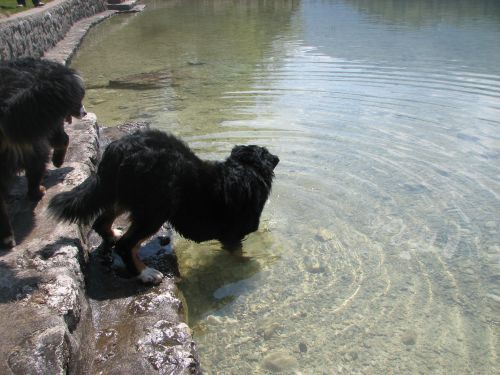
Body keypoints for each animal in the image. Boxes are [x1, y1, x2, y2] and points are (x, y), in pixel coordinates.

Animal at [0, 58, 86, 250]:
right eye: (79, 99)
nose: (84, 112)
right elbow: (61, 139)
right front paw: (58, 161)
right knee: (37, 161)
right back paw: (37, 190)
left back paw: (6, 237)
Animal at [48, 131, 280, 284]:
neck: (246, 170)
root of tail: (119, 148)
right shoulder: (232, 236)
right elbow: (239, 255)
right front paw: (247, 263)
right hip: (157, 208)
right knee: (125, 245)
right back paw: (146, 273)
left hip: (122, 194)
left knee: (102, 222)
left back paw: (113, 234)